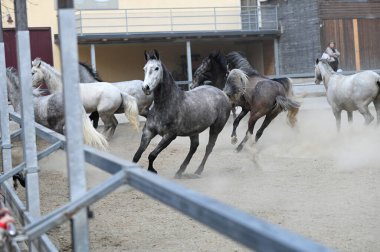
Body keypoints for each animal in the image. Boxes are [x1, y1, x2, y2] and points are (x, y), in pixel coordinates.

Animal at [132, 50, 230, 178]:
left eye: (157, 68)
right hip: (194, 131)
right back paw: (180, 171)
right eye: (144, 68)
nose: (145, 88)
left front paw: (152, 170)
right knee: (194, 147)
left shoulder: (169, 136)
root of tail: (221, 92)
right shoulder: (148, 132)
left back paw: (198, 171)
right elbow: (136, 156)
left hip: (216, 128)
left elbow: (152, 155)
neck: (165, 105)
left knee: (209, 147)